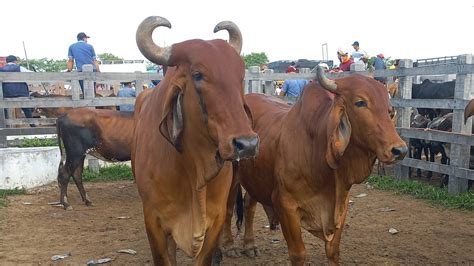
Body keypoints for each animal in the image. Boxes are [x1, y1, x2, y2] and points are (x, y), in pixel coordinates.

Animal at [220, 66, 406, 264]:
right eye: (360, 102)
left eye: (390, 110)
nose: (399, 150)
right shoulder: (285, 204)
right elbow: (298, 254)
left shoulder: (341, 205)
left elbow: (333, 251)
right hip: (233, 176)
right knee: (229, 209)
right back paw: (229, 246)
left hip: (256, 176)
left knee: (249, 204)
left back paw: (250, 245)